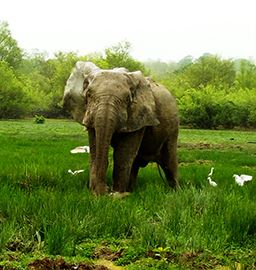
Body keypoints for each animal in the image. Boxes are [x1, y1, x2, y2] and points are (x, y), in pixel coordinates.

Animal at [63, 62, 179, 195]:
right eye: (88, 95)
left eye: (127, 99)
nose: (107, 190)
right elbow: (95, 152)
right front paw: (99, 194)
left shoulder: (138, 116)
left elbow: (122, 154)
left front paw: (117, 195)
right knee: (135, 163)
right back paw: (131, 190)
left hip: (173, 129)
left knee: (169, 162)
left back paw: (176, 192)